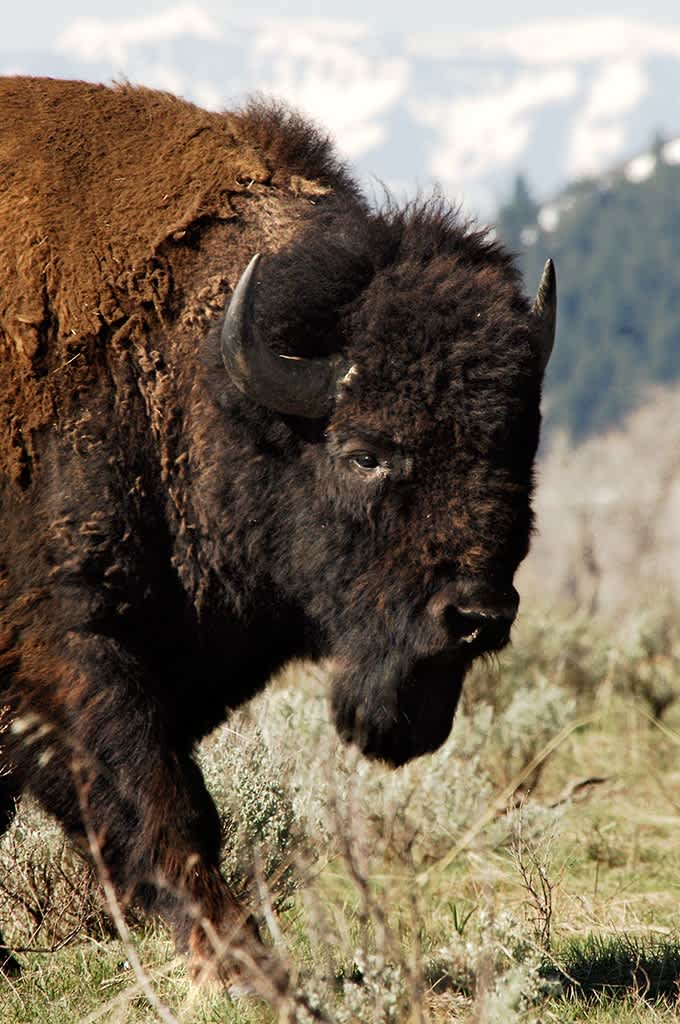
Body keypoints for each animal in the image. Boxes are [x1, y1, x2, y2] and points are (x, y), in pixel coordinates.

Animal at [0, 77, 553, 974]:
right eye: (364, 452)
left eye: (517, 445)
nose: (474, 616)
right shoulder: (68, 643)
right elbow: (162, 803)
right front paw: (239, 963)